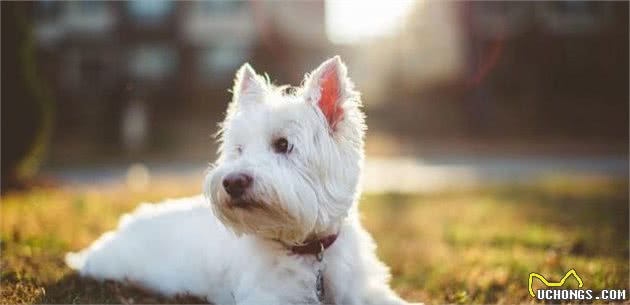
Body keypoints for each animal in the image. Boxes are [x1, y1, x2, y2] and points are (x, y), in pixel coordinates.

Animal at [68, 57, 414, 304]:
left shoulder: (367, 290)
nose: (233, 182)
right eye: (238, 149)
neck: (310, 252)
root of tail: (124, 224)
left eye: (283, 144)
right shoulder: (267, 297)